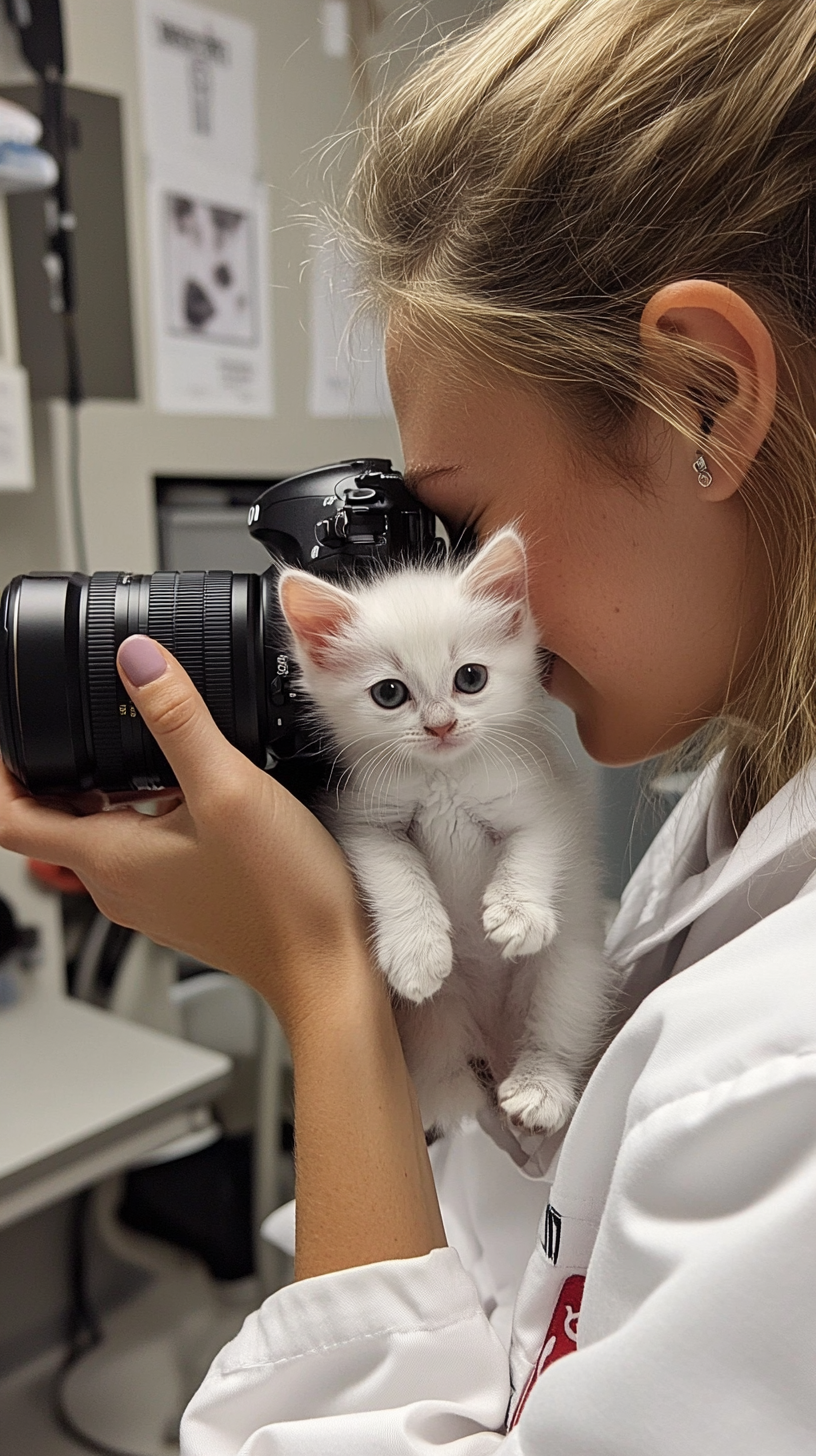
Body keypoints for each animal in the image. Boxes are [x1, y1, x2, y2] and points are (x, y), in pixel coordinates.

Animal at [278, 527, 612, 1135]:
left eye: (470, 678)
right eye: (389, 693)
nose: (441, 725)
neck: (443, 776)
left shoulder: (543, 801)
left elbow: (534, 848)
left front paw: (518, 914)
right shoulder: (364, 820)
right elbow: (397, 872)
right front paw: (416, 949)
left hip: (572, 972)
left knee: (556, 1028)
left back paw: (539, 1087)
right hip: (438, 1015)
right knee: (445, 1065)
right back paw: (448, 1095)